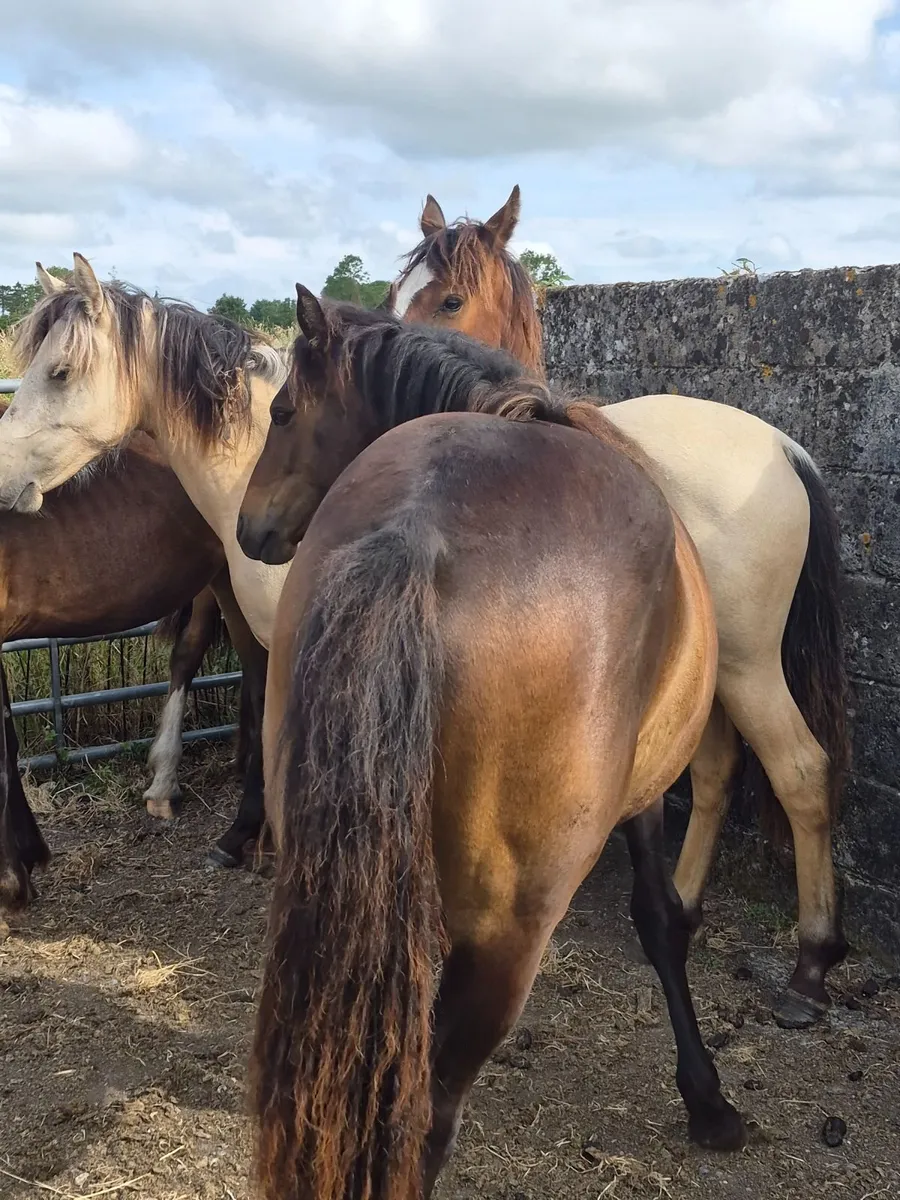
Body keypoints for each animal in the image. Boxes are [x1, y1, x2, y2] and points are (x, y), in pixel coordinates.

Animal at [235, 288, 747, 1200]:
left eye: (283, 411)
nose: (247, 527)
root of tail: (418, 532)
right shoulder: (647, 800)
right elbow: (660, 922)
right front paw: (708, 1099)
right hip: (514, 930)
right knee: (426, 1118)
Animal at [388, 187, 851, 1030]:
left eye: (450, 299)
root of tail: (780, 448)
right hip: (712, 677)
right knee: (717, 772)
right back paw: (685, 909)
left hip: (749, 666)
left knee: (802, 772)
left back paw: (810, 965)